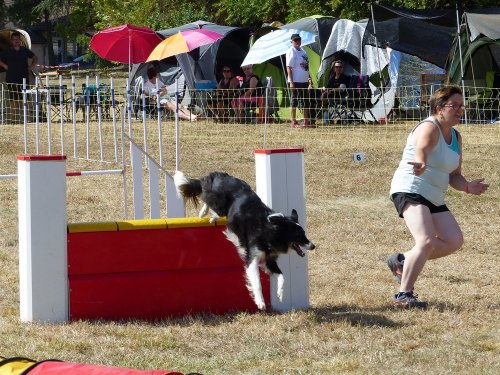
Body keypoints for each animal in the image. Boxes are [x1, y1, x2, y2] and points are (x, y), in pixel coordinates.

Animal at [172, 172, 312, 310]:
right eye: (298, 235)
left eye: (304, 233)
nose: (313, 246)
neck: (269, 230)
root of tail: (219, 174)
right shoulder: (252, 257)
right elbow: (257, 282)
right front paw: (260, 302)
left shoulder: (269, 260)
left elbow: (282, 276)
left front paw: (280, 293)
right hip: (220, 204)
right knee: (209, 199)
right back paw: (205, 213)